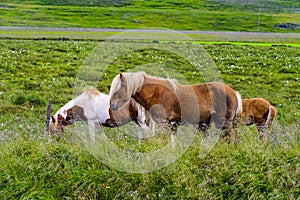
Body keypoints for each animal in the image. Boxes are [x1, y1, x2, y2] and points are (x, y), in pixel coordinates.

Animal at [109, 71, 243, 146]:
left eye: (119, 88)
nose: (111, 105)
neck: (157, 93)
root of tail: (234, 92)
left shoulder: (165, 124)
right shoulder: (173, 124)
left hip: (224, 122)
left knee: (231, 138)